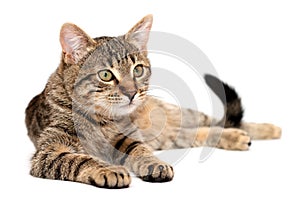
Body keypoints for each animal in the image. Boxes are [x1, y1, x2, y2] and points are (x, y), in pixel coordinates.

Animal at [25, 14, 282, 187]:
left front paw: (152, 163)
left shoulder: (127, 137)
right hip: (167, 136)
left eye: (138, 70)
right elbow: (79, 159)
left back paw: (266, 129)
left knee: (215, 121)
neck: (103, 118)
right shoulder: (49, 151)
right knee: (198, 132)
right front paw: (108, 169)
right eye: (106, 75)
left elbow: (140, 149)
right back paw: (239, 136)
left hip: (175, 116)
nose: (132, 93)